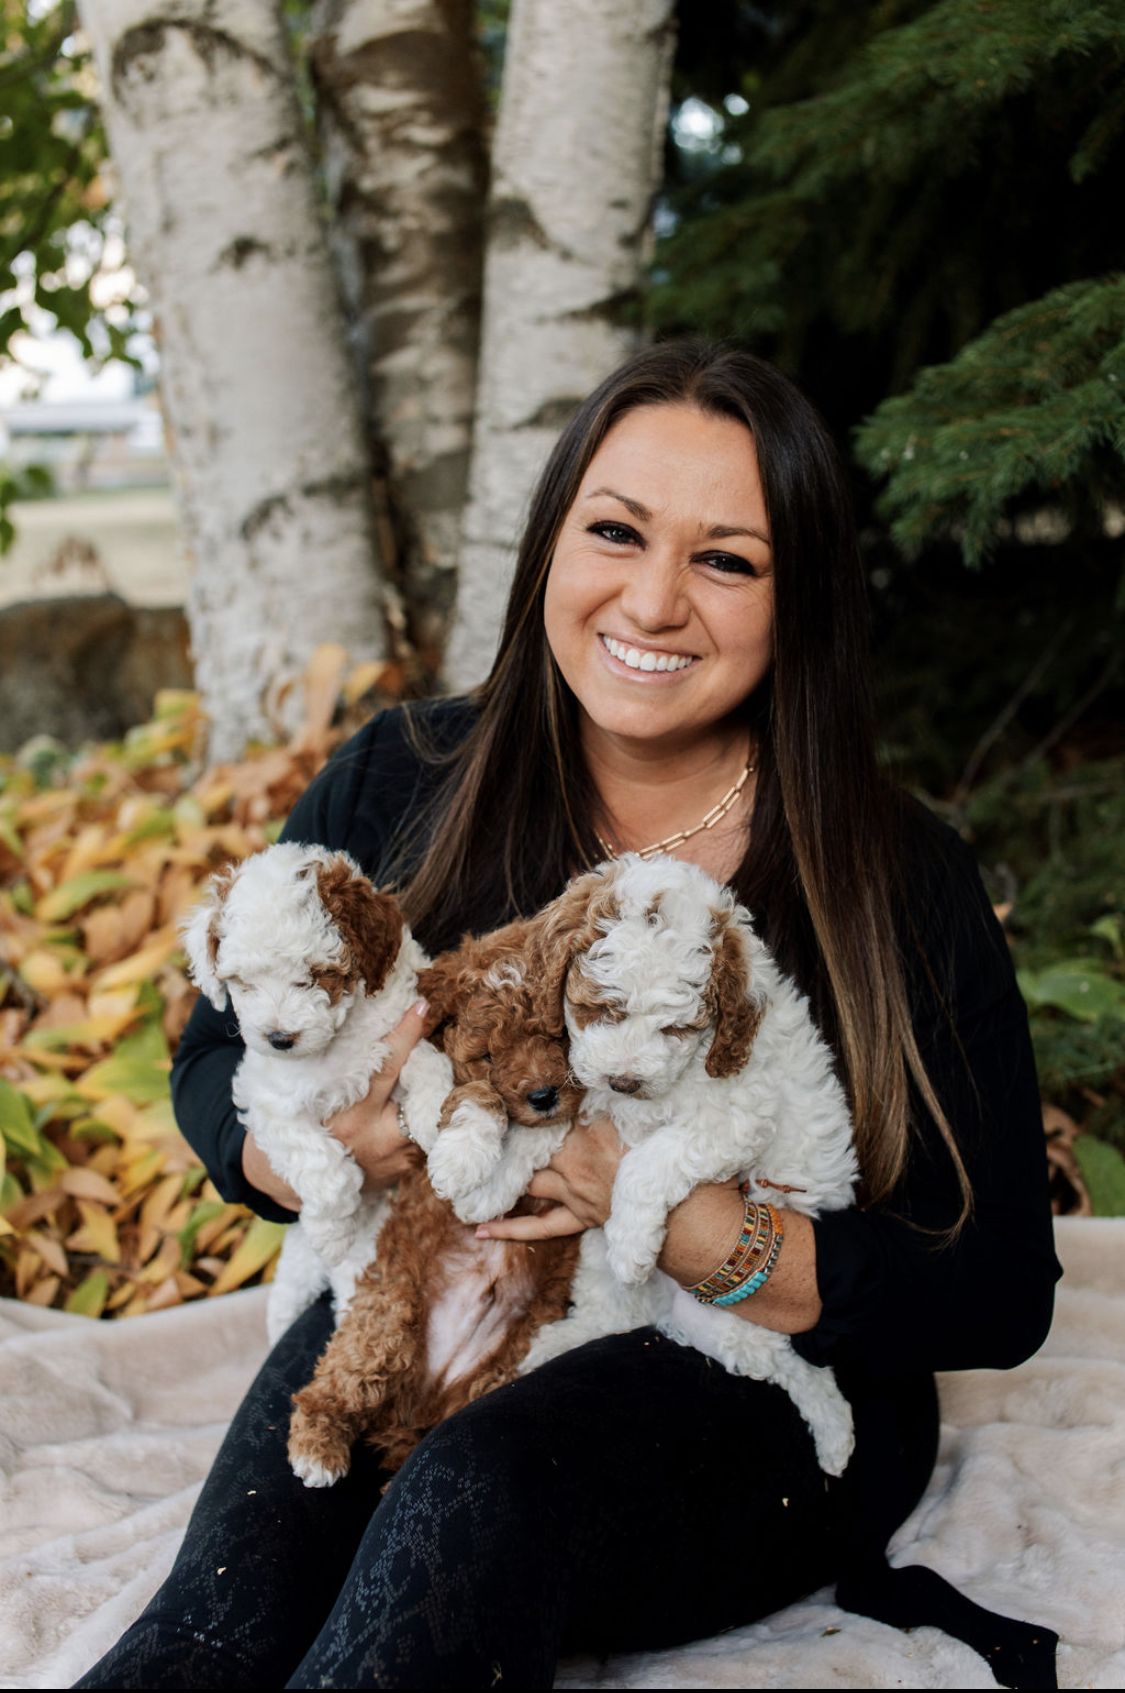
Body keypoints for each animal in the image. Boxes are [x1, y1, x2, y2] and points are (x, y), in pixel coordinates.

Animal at [180, 842, 453, 1345]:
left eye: (314, 975)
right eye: (243, 982)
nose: (279, 1038)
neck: (336, 1042)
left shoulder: (404, 1025)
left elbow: (425, 1061)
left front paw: (429, 1118)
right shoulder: (271, 1103)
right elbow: (319, 1162)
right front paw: (332, 1228)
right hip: (302, 1268)